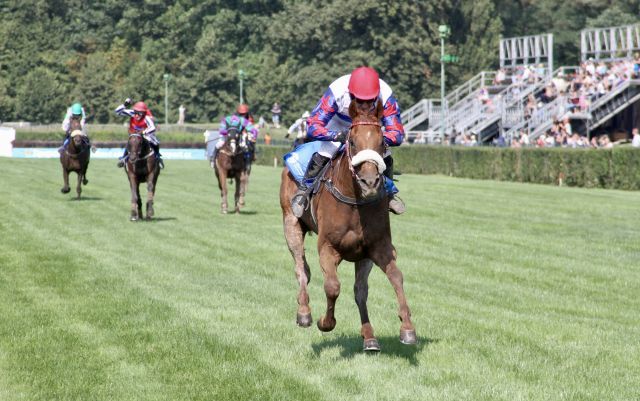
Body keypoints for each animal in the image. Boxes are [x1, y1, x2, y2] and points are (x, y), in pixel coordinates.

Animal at [278, 98, 418, 352]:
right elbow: (332, 286)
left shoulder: (377, 248)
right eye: (352, 141)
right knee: (301, 269)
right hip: (290, 222)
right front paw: (325, 322)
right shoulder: (327, 248)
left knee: (359, 290)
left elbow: (394, 278)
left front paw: (406, 328)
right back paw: (304, 312)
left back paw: (369, 337)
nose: (369, 182)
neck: (355, 203)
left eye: (382, 142)